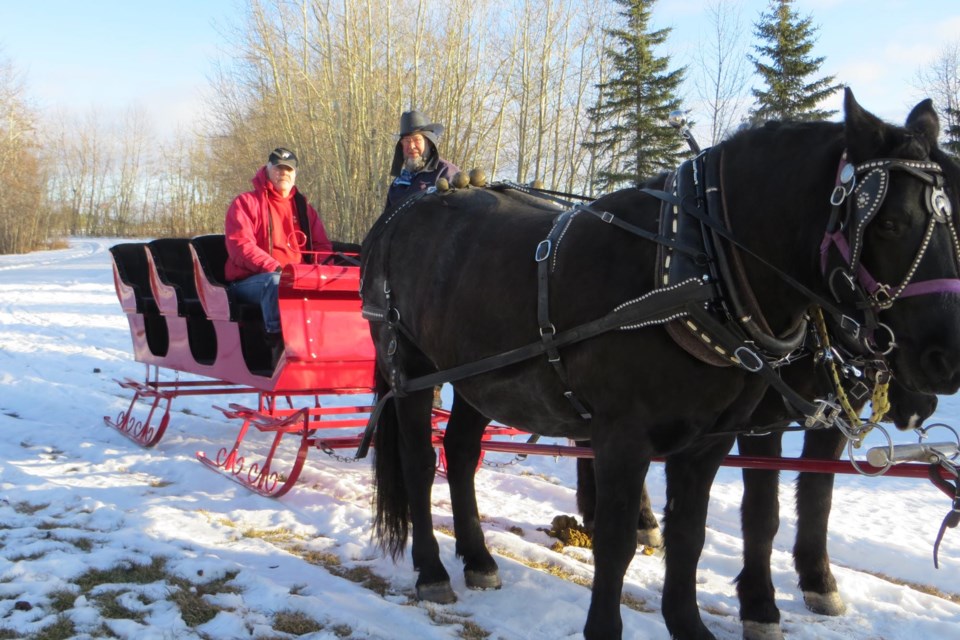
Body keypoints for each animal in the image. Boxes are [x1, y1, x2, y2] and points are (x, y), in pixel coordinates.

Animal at [360, 91, 960, 640]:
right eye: (890, 223)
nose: (943, 360)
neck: (699, 268)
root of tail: (400, 215)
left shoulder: (708, 442)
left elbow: (692, 536)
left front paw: (691, 624)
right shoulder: (627, 436)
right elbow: (620, 540)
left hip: (477, 377)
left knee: (461, 452)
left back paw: (479, 557)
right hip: (410, 369)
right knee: (420, 462)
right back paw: (433, 570)